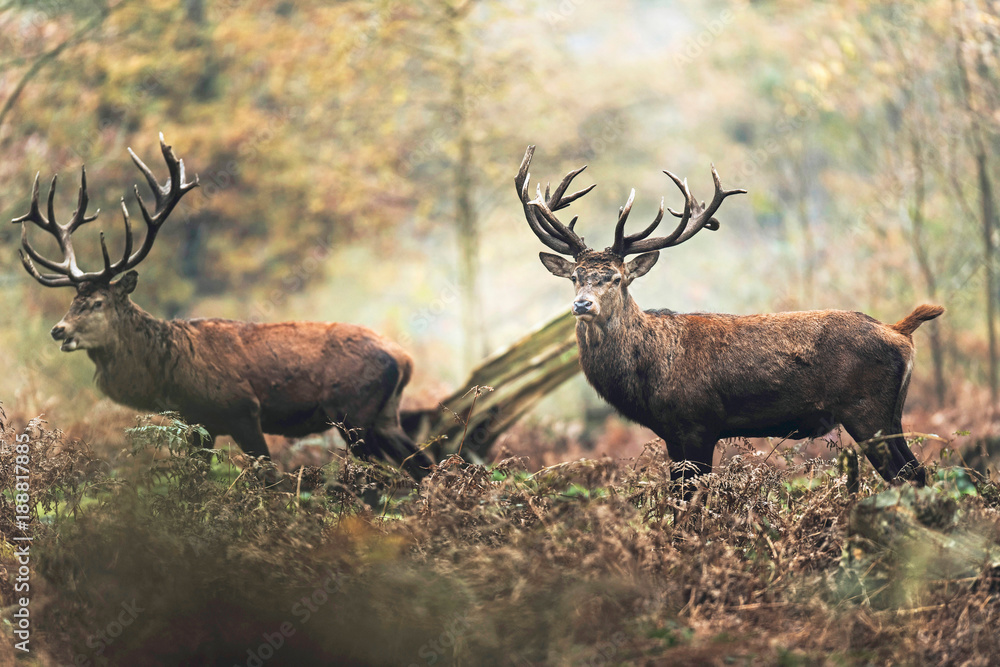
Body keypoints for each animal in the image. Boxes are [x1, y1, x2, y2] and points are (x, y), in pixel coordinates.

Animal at [12, 134, 431, 478]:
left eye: (98, 302)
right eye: (73, 300)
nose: (58, 330)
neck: (171, 376)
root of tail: (405, 359)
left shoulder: (242, 409)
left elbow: (271, 479)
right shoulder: (200, 424)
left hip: (353, 414)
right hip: (385, 417)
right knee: (424, 466)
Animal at [515, 145, 942, 490]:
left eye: (616, 278)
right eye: (575, 276)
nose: (582, 305)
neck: (648, 374)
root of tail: (900, 331)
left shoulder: (697, 424)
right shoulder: (673, 434)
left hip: (868, 410)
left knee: (909, 474)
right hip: (890, 414)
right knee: (917, 473)